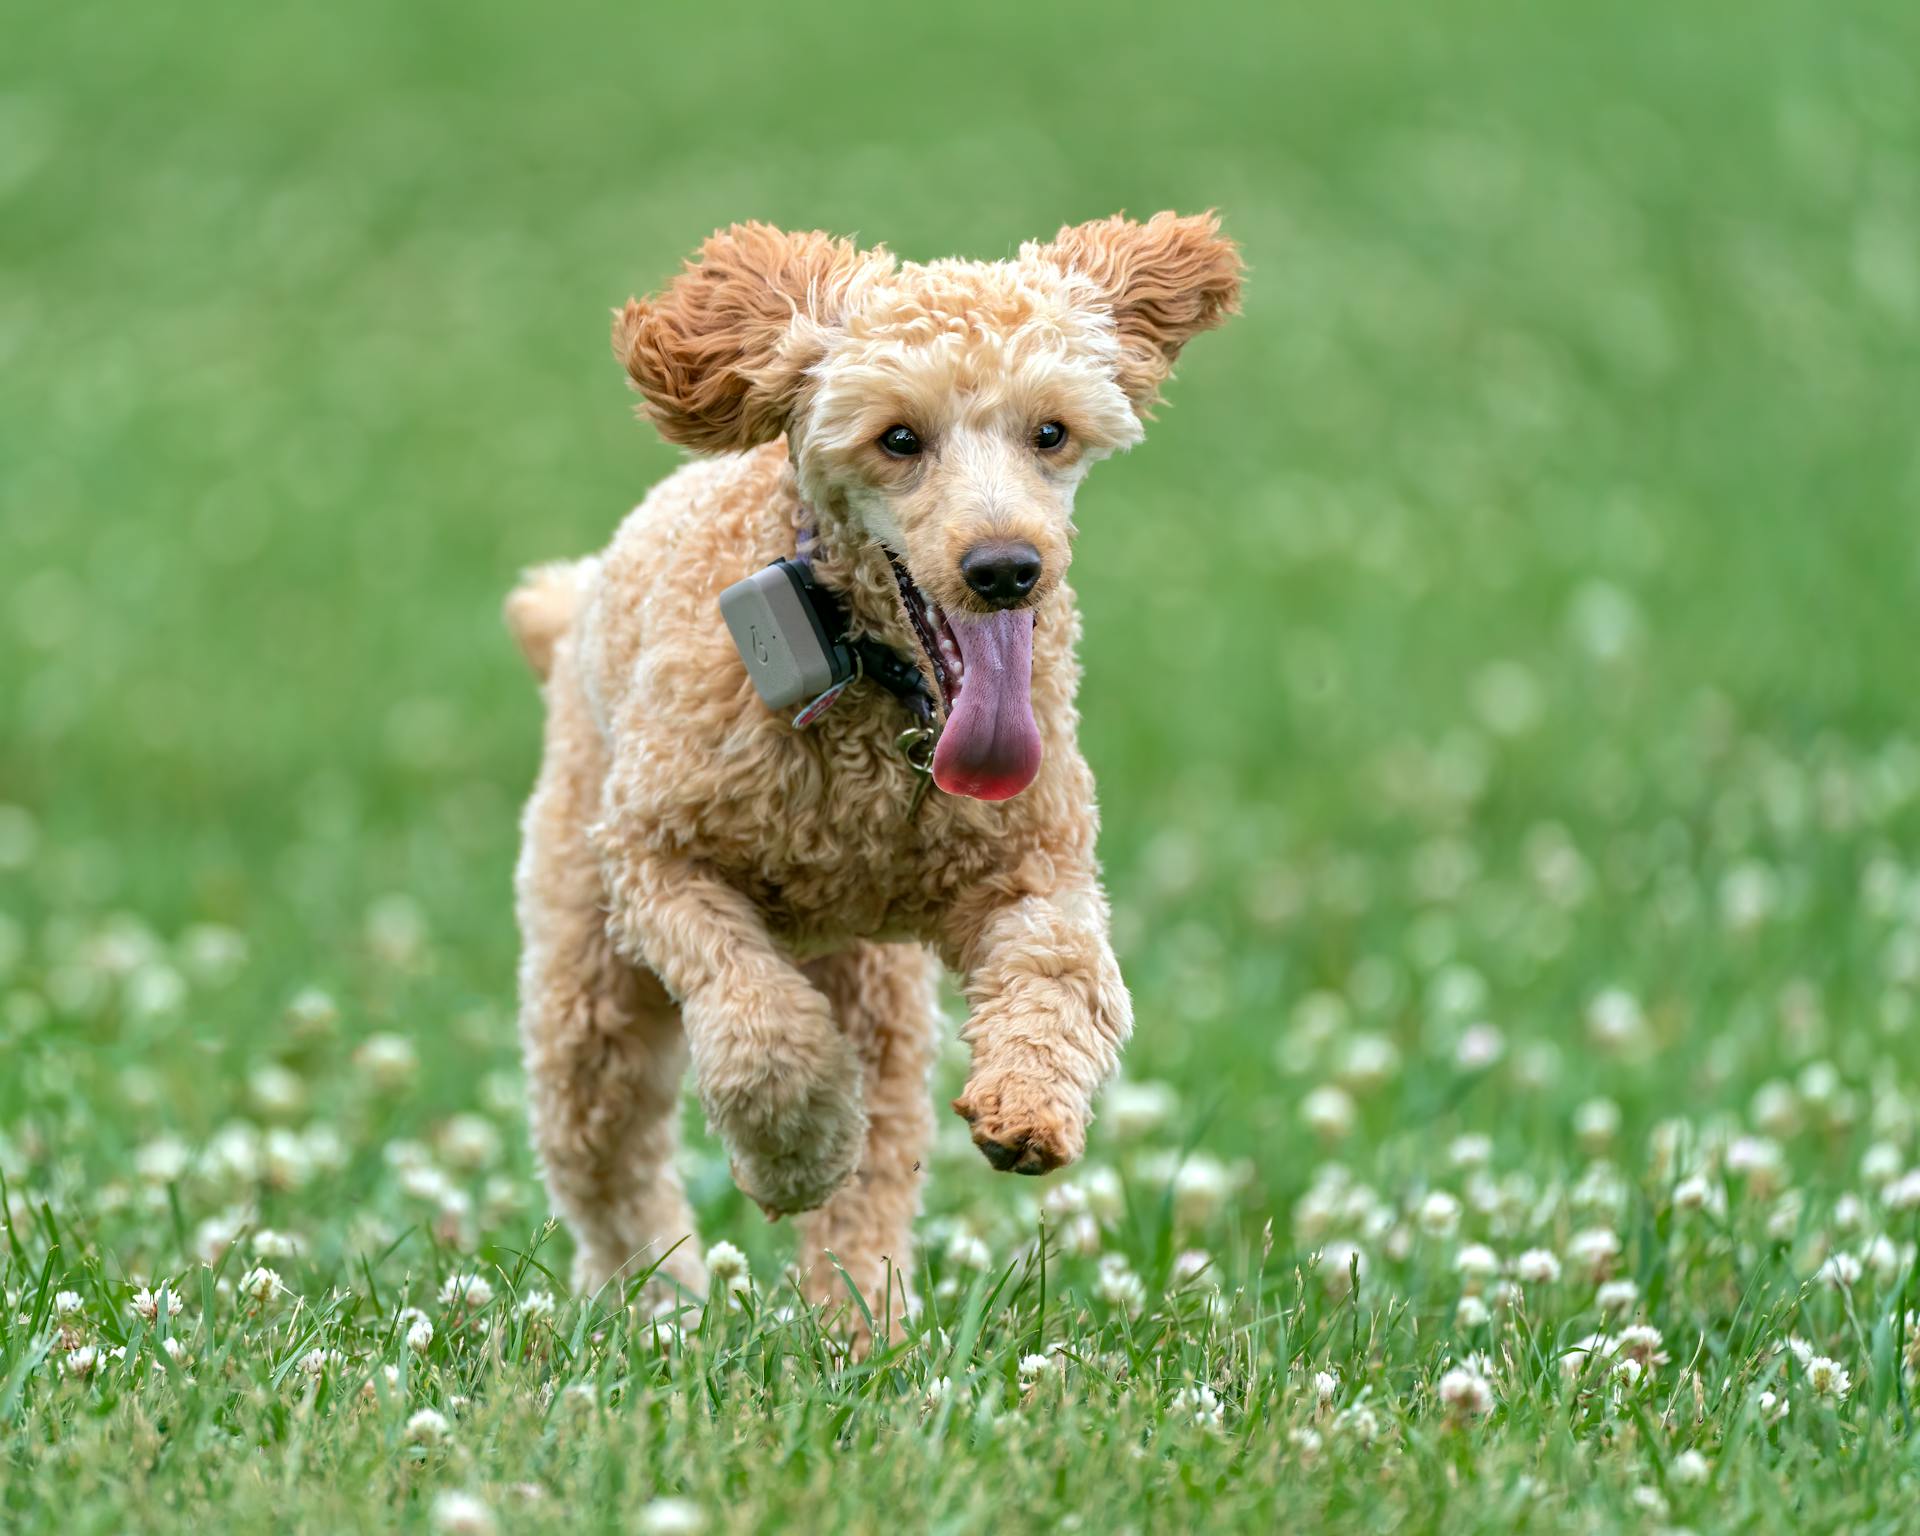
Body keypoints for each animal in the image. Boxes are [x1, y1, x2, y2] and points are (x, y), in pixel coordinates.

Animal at [503, 210, 1236, 1328]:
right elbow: (760, 1030)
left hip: (873, 986)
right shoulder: (658, 862)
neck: (885, 697)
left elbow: (1063, 973)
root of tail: (573, 603)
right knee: (611, 1151)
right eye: (899, 438)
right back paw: (659, 1302)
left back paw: (858, 1325)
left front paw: (1027, 1105)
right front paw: (798, 1152)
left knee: (880, 1162)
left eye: (1050, 434)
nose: (1006, 569)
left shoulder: (1034, 868)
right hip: (587, 960)